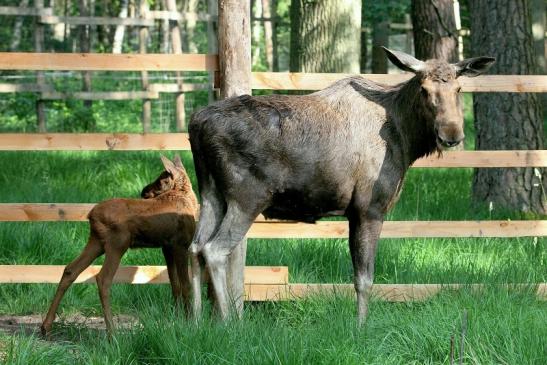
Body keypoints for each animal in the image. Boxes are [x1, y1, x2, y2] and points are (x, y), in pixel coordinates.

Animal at [41, 155, 199, 334]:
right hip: (118, 242)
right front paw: (189, 323)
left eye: (160, 181)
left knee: (70, 269)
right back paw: (112, 332)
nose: (143, 191)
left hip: (96, 241)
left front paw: (177, 320)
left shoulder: (167, 246)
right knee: (103, 278)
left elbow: (174, 284)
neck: (186, 199)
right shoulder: (180, 244)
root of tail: (91, 215)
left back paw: (46, 325)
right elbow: (185, 285)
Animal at [189, 47, 496, 322]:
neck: (406, 139)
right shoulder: (368, 209)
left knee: (194, 246)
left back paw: (196, 321)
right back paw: (229, 324)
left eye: (459, 89)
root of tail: (196, 123)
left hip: (211, 193)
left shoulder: (354, 212)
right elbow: (364, 279)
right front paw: (361, 327)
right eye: (423, 89)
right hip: (247, 197)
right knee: (214, 250)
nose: (451, 135)